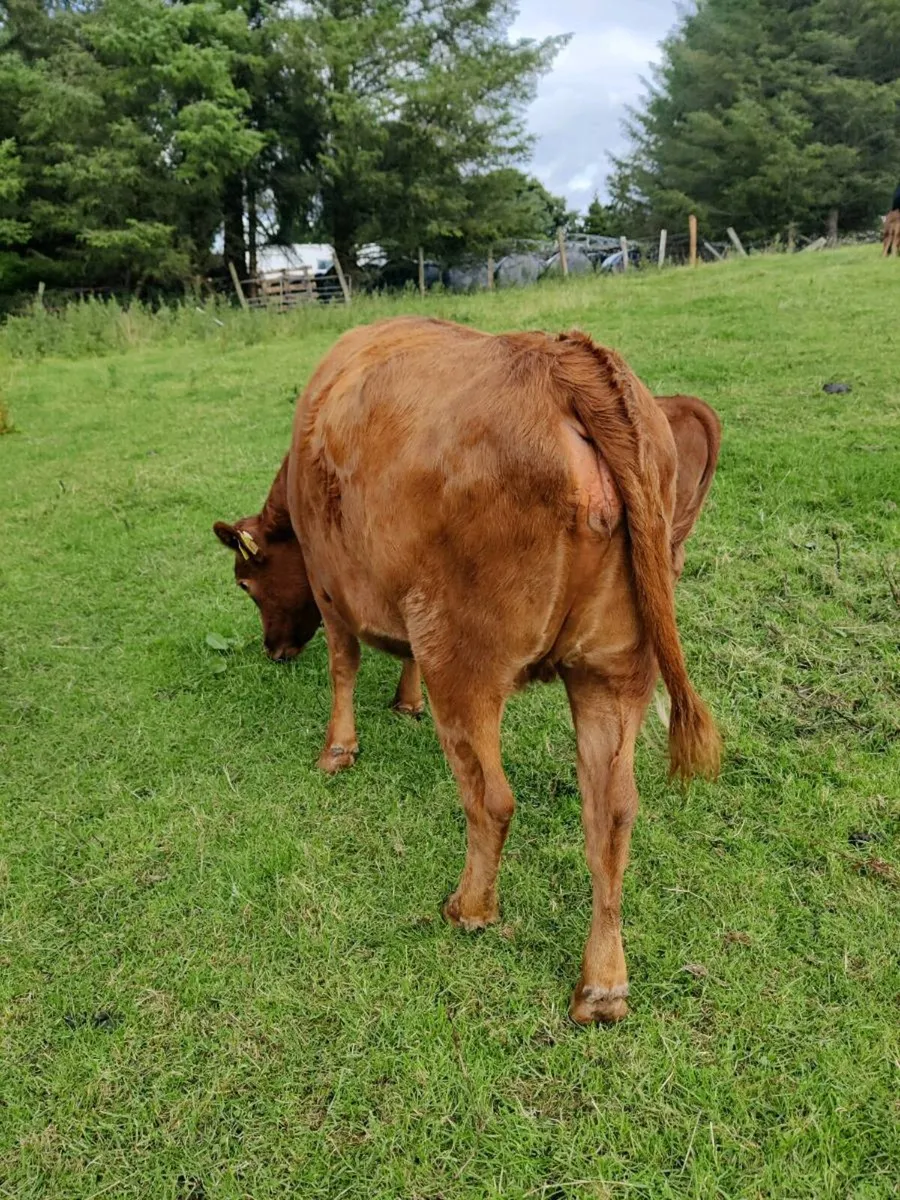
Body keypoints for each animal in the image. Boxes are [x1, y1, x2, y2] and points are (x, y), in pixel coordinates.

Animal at [213, 316, 722, 1023]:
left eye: (246, 583)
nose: (274, 650)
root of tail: (562, 361)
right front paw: (405, 702)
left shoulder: (329, 582)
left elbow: (344, 664)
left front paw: (338, 749)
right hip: (615, 670)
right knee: (612, 815)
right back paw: (602, 987)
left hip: (466, 657)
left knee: (493, 799)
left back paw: (471, 909)